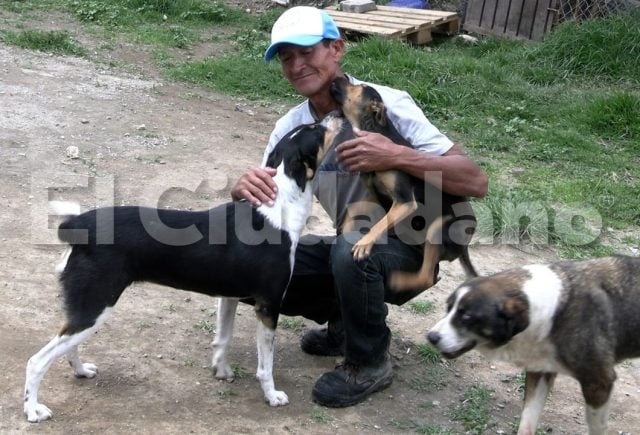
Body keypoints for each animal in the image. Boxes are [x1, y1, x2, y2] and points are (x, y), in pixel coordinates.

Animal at [330, 76, 476, 292]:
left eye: (360, 86)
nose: (337, 77)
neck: (374, 129)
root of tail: (465, 247)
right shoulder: (372, 194)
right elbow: (354, 213)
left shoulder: (404, 201)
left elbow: (380, 224)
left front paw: (364, 243)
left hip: (438, 229)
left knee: (427, 278)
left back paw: (398, 280)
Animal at [424, 255, 640, 435]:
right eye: (448, 308)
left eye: (467, 317)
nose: (431, 337)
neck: (556, 311)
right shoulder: (540, 370)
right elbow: (528, 419)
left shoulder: (598, 381)